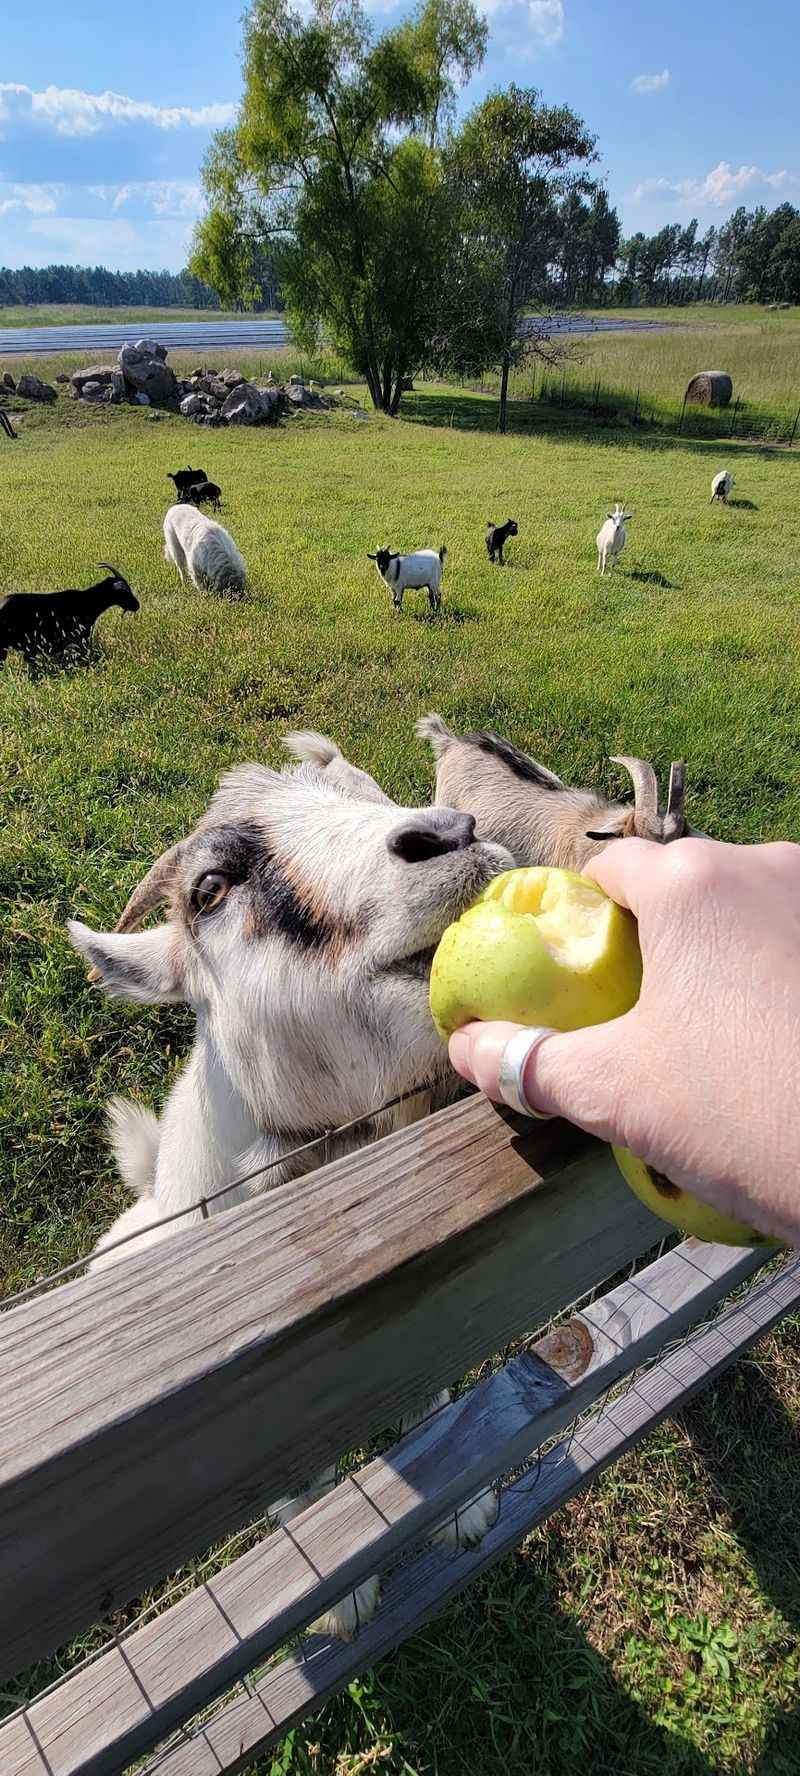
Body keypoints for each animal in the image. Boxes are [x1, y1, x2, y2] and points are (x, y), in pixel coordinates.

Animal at [69, 732, 511, 1636]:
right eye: (209, 890)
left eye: (375, 793)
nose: (455, 835)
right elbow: (301, 1490)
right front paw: (339, 1604)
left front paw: (462, 1505)